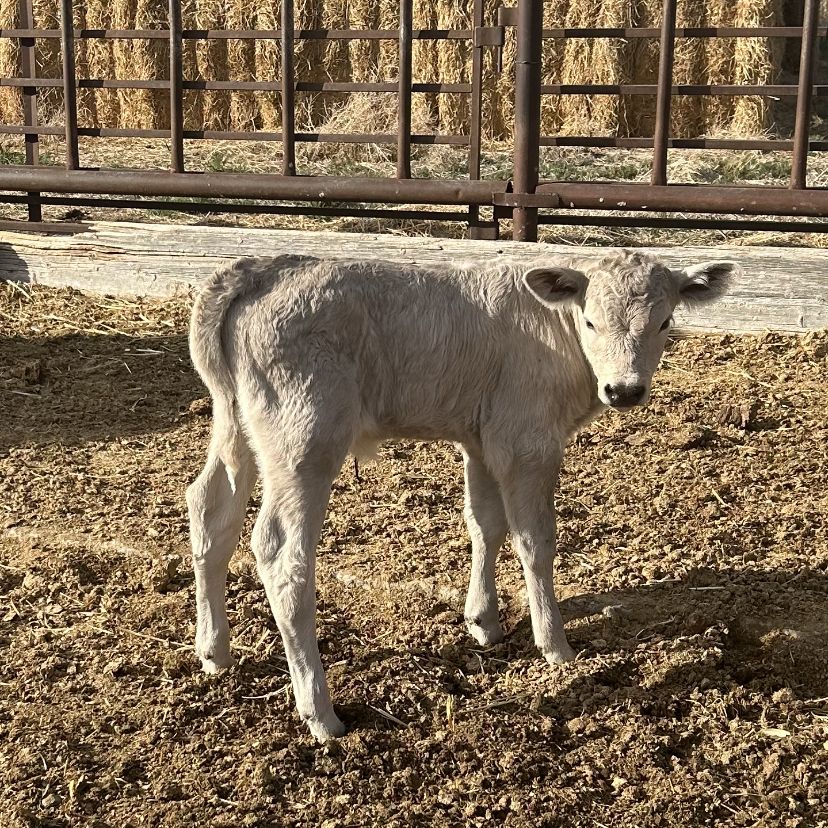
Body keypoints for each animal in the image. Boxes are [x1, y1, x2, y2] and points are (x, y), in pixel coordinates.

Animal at [186, 249, 734, 740]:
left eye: (664, 322)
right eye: (591, 321)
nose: (624, 391)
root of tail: (261, 269)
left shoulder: (480, 437)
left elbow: (485, 523)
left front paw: (483, 621)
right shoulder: (525, 441)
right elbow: (534, 540)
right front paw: (554, 644)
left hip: (237, 426)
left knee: (210, 510)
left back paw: (215, 652)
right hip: (303, 439)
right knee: (282, 554)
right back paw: (320, 712)